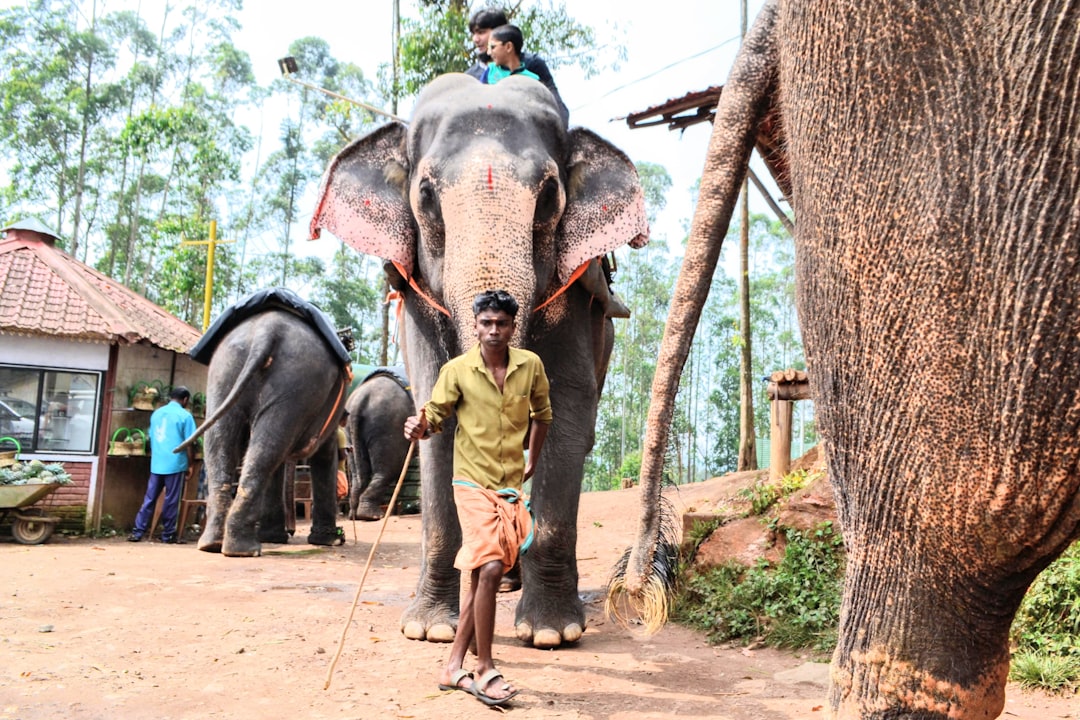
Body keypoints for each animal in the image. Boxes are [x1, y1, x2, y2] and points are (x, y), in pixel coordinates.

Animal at [180, 289, 349, 557]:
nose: (292, 530)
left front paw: (275, 537)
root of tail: (266, 331)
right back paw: (244, 549)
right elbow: (324, 454)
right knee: (270, 446)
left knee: (225, 440)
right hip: (296, 378)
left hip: (225, 369)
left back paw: (215, 545)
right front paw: (329, 541)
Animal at [345, 369, 412, 520]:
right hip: (387, 425)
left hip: (349, 430)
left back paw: (354, 515)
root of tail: (359, 400)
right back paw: (374, 516)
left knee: (359, 472)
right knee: (390, 468)